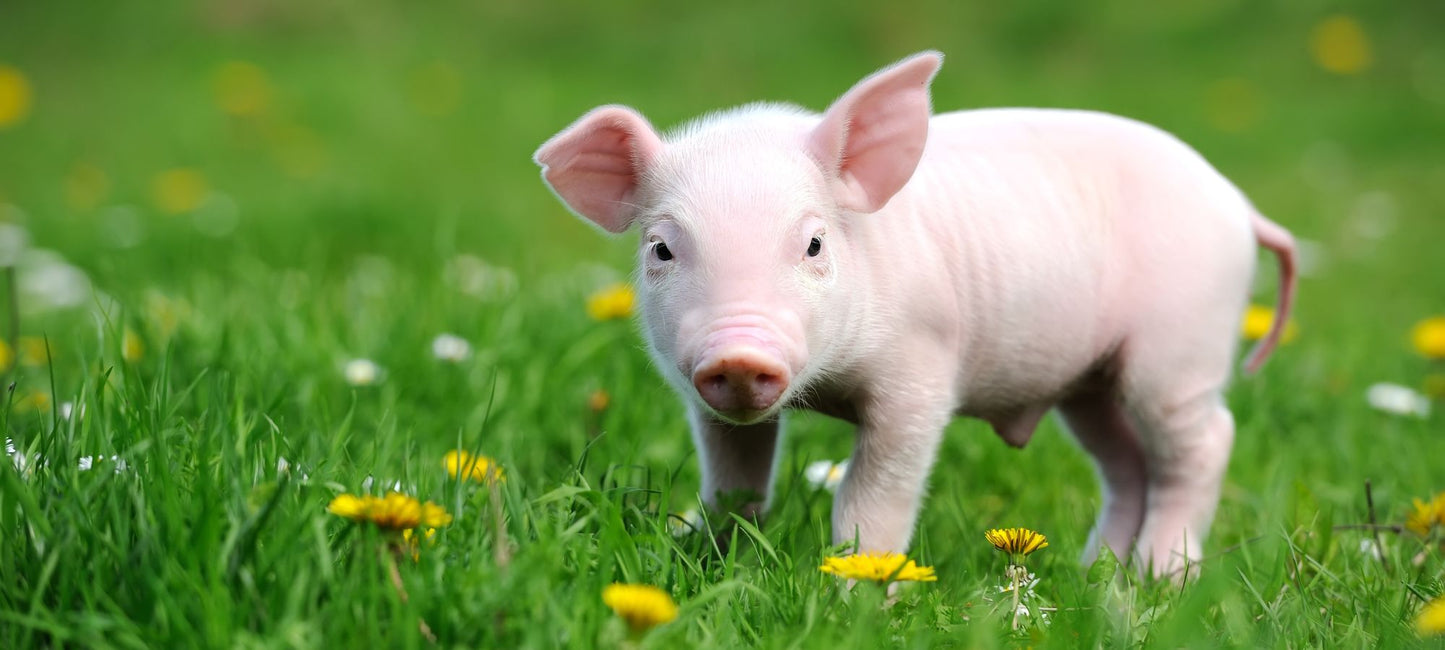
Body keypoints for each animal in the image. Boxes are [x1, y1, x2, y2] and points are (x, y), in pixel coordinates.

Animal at [533, 51, 1297, 577]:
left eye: (814, 243)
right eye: (661, 248)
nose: (739, 354)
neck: (826, 386)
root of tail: (1239, 205)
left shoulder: (920, 372)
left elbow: (873, 497)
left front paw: (858, 591)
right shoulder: (708, 403)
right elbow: (734, 482)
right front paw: (698, 555)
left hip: (1180, 348)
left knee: (1204, 442)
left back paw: (1159, 578)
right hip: (1089, 381)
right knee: (1127, 464)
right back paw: (1093, 578)